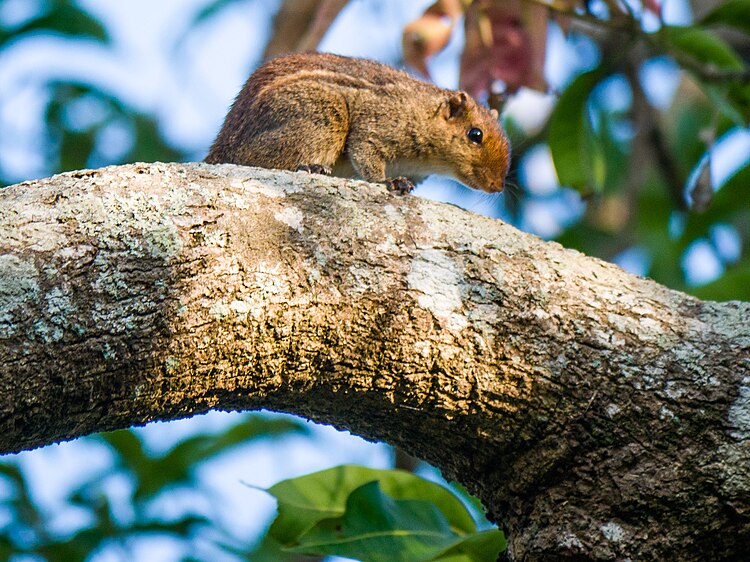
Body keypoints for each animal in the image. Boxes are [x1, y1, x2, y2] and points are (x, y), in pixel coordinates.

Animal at [206, 52, 512, 192]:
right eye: (475, 134)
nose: (497, 187)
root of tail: (220, 150)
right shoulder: (379, 124)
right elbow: (366, 152)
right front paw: (389, 181)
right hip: (321, 117)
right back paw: (310, 166)